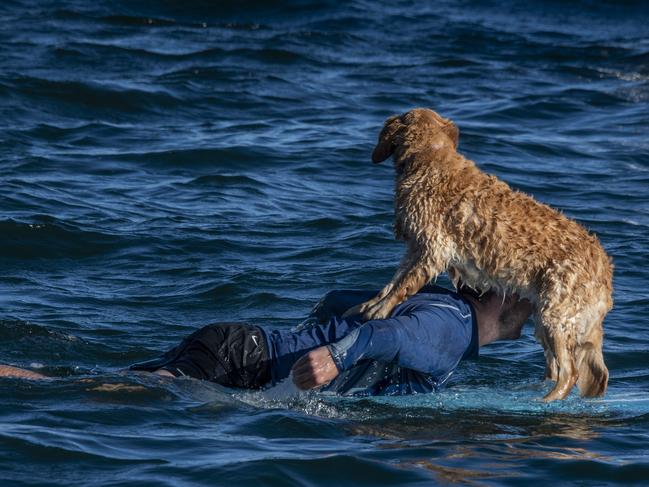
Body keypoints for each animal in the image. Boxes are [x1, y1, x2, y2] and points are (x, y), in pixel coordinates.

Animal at [356, 108, 612, 402]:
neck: (431, 159)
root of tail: (605, 271)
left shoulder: (431, 249)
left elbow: (402, 286)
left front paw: (381, 309)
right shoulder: (415, 247)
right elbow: (393, 282)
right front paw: (373, 303)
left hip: (555, 315)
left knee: (570, 373)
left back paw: (546, 399)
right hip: (547, 319)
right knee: (561, 369)